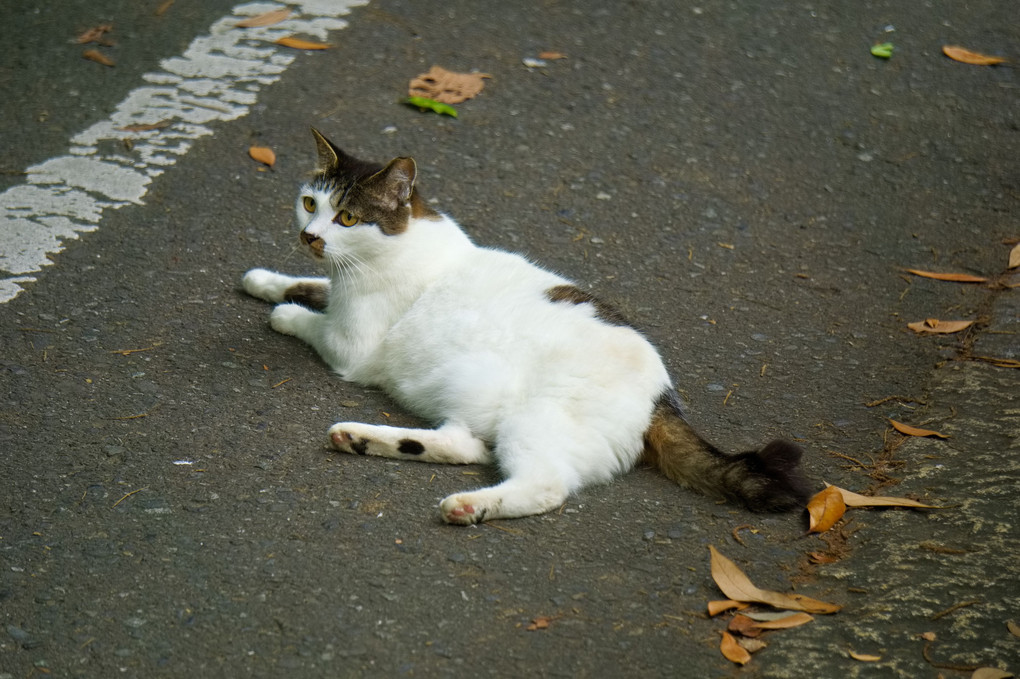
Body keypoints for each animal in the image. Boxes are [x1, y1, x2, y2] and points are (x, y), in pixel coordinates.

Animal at [242, 130, 807, 521]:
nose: (311, 236)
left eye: (348, 219)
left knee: (542, 484)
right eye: (310, 203)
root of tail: (663, 398)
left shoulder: (349, 345)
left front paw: (284, 313)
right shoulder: (336, 286)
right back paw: (359, 438)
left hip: (534, 422)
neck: (396, 244)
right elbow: (311, 284)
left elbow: (313, 319)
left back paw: (467, 505)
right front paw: (265, 279)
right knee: (466, 446)